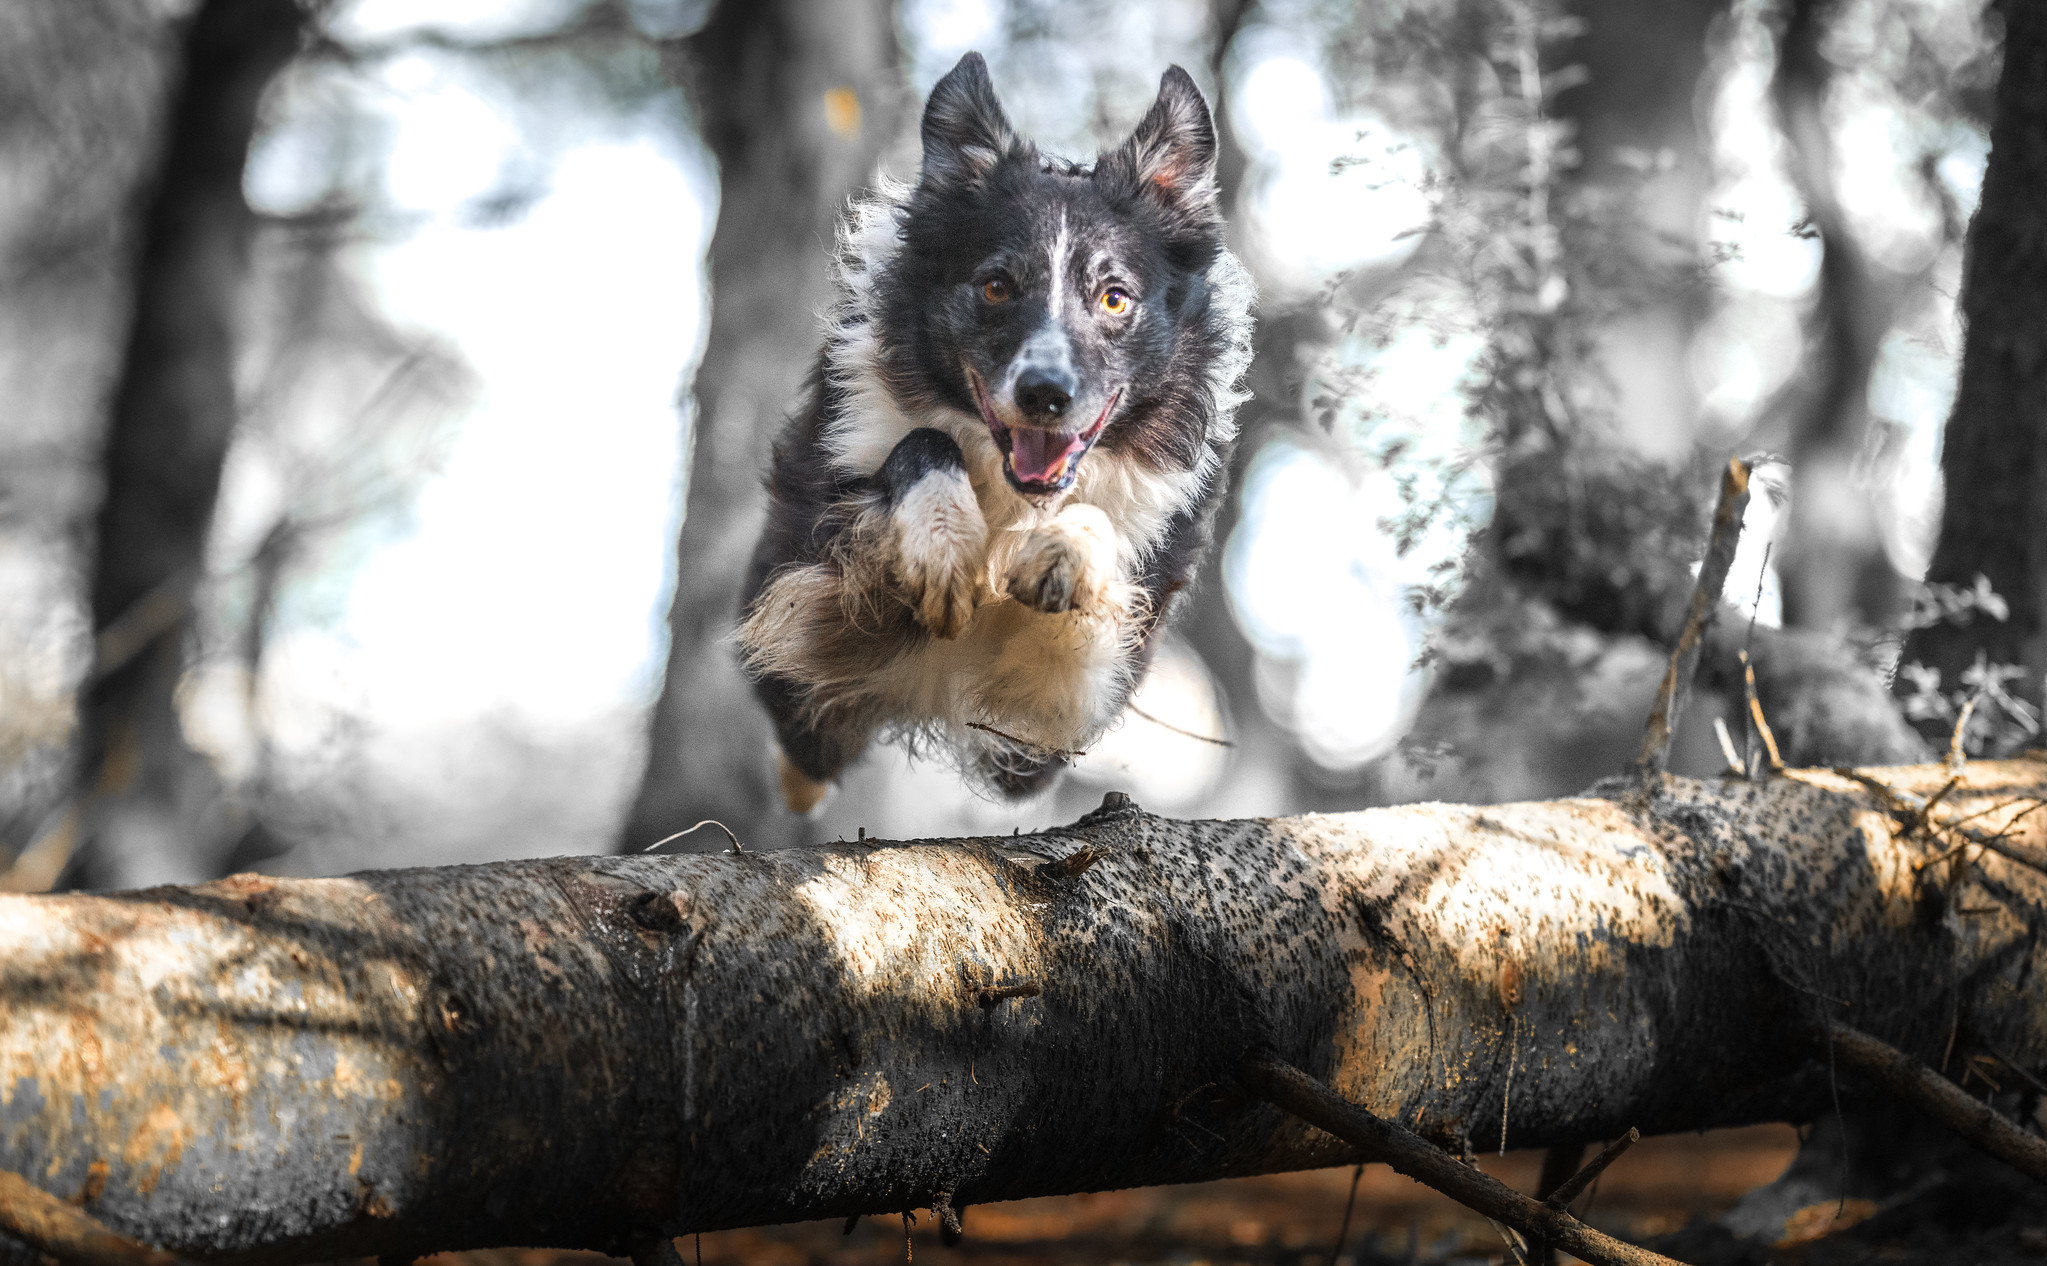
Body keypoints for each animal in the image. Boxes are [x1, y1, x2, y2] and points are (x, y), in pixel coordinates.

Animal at [732, 51, 1244, 807]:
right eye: (997, 286)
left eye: (1114, 297)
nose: (1045, 395)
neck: (1014, 495)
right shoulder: (805, 588)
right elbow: (920, 443)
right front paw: (944, 546)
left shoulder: (1052, 724)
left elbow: (1090, 548)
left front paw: (1064, 550)